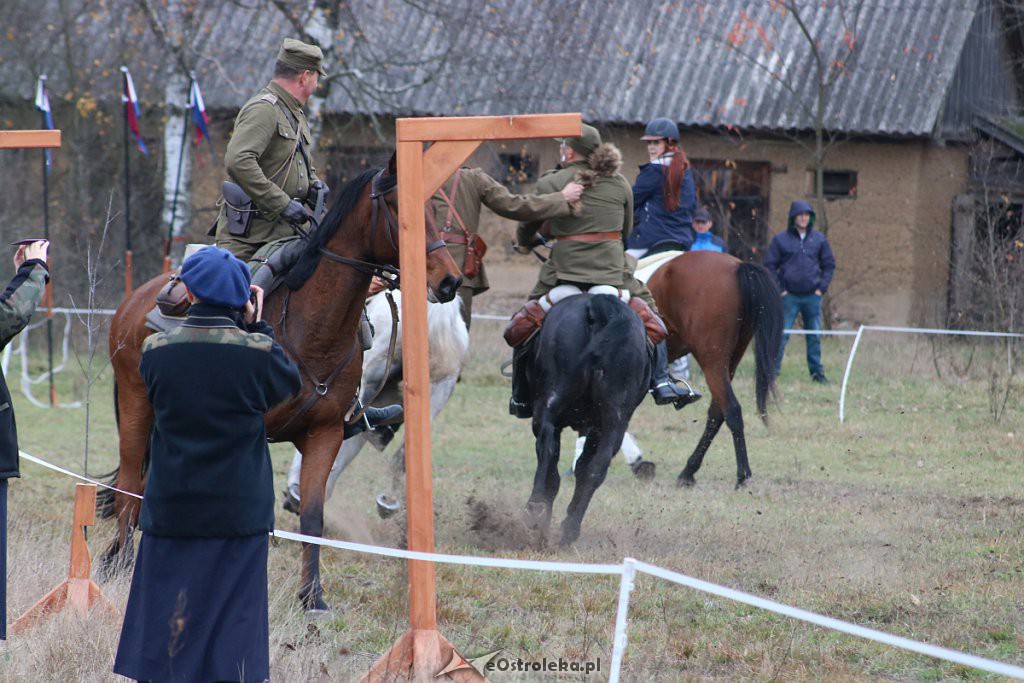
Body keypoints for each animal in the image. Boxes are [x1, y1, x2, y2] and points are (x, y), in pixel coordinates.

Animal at [98, 157, 460, 610]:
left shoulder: (325, 434)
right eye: (397, 206)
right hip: (136, 404)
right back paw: (124, 562)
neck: (312, 325)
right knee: (131, 482)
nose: (449, 280)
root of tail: (133, 302)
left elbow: (312, 515)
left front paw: (312, 597)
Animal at [520, 294, 647, 544]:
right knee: (596, 467)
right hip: (614, 422)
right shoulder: (596, 427)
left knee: (547, 448)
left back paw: (537, 510)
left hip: (550, 407)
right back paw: (569, 528)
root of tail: (600, 306)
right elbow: (584, 466)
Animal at [647, 249, 782, 485]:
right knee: (717, 413)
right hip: (729, 361)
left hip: (712, 360)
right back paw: (689, 471)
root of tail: (737, 266)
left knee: (731, 410)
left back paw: (742, 475)